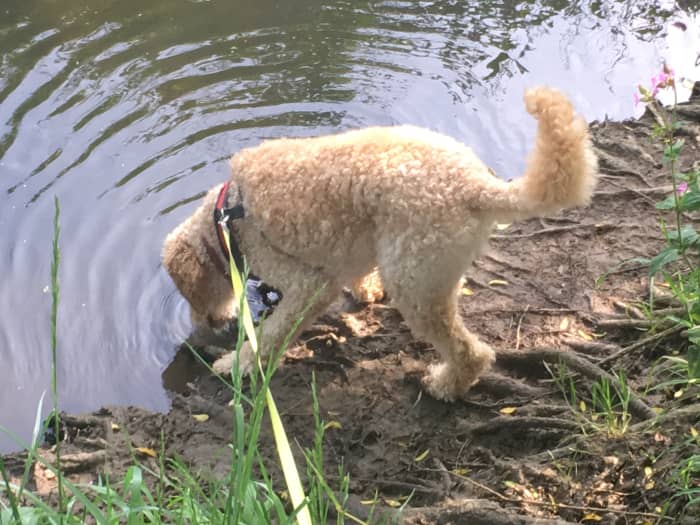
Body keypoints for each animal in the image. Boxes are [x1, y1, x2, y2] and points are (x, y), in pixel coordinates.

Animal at [163, 88, 596, 402]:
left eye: (188, 292)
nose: (205, 326)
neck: (227, 221)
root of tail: (474, 184)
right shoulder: (351, 249)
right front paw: (367, 292)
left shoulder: (307, 285)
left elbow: (272, 331)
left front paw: (237, 364)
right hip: (427, 271)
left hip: (416, 283)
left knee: (471, 353)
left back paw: (444, 386)